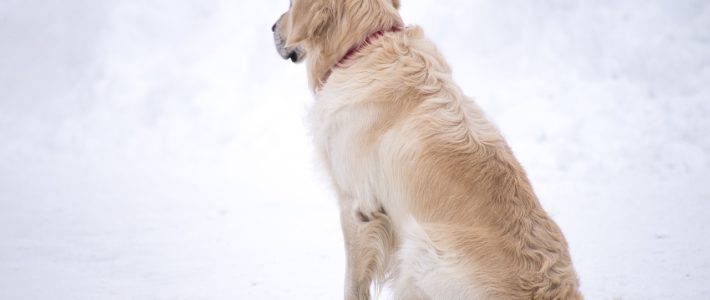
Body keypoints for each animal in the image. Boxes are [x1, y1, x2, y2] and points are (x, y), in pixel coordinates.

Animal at [274, 1, 584, 298]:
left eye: (290, 5)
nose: (273, 28)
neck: (364, 46)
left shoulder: (358, 207)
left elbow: (353, 283)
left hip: (419, 248)